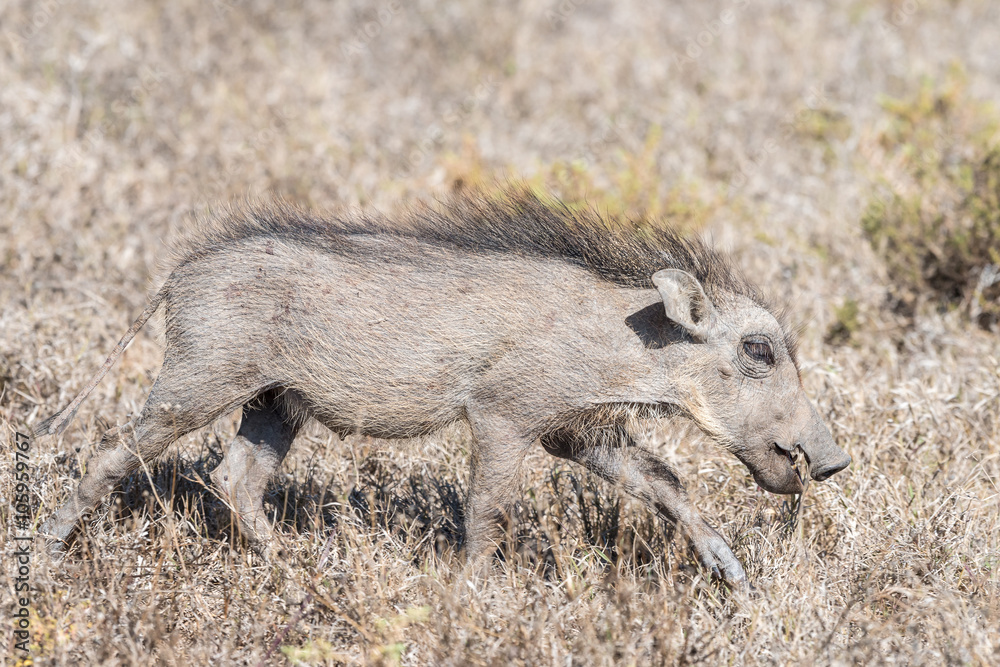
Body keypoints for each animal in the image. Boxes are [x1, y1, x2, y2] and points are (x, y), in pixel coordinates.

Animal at [35, 189, 851, 586]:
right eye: (757, 348)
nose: (836, 459)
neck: (629, 334)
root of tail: (178, 275)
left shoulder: (572, 430)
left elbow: (664, 481)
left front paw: (732, 575)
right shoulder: (503, 415)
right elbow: (487, 508)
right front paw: (475, 596)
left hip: (273, 403)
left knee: (236, 480)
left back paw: (305, 574)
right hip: (198, 382)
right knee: (112, 455)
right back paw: (41, 557)